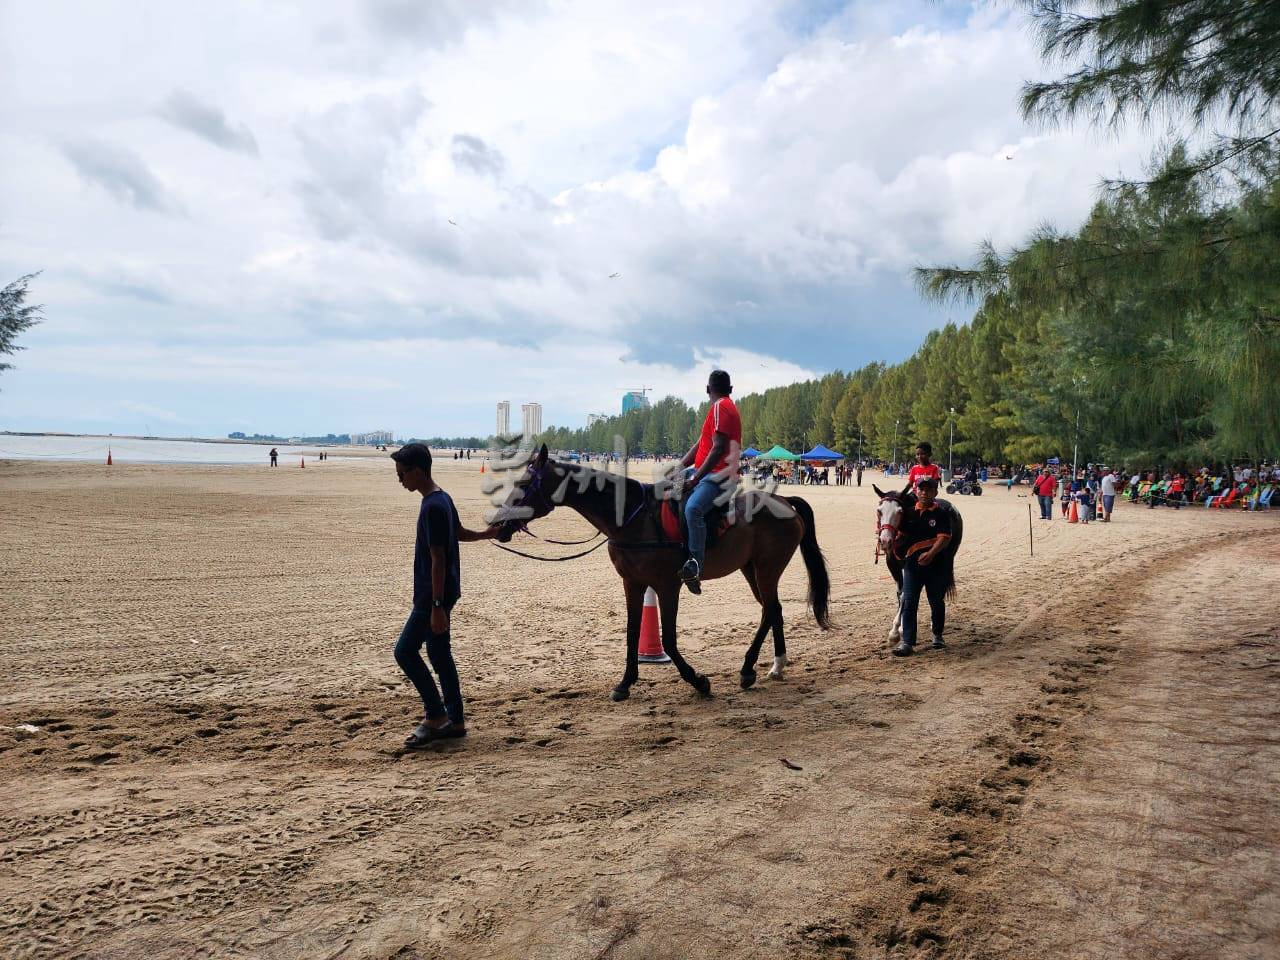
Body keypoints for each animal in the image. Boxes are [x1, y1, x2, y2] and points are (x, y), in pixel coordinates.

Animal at [488, 448, 829, 701]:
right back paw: (775, 666)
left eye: (524, 484)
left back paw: (749, 669)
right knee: (773, 611)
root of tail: (785, 501)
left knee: (770, 609)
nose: (498, 524)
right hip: (751, 569)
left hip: (766, 568)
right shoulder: (632, 583)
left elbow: (668, 638)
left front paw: (698, 681)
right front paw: (625, 683)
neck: (632, 518)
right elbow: (632, 632)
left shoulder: (667, 586)